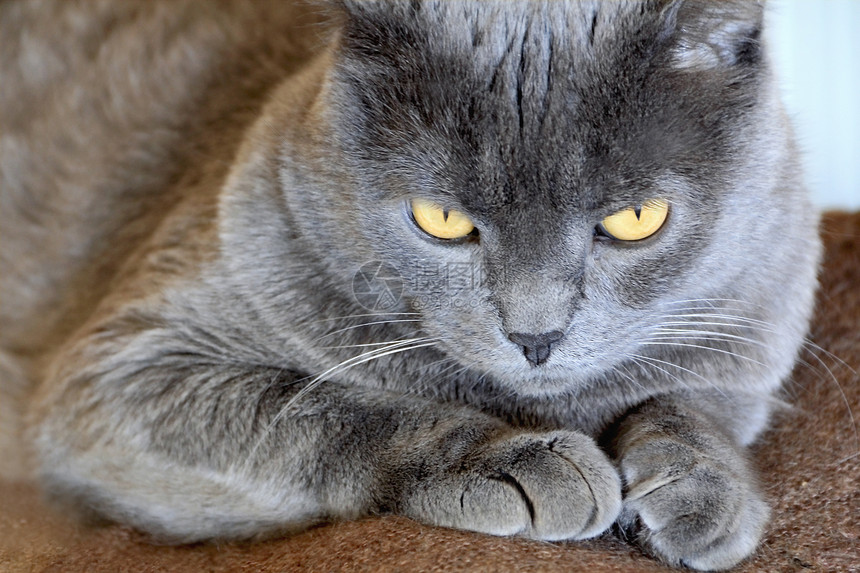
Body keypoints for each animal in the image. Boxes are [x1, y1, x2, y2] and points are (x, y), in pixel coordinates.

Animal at [0, 0, 820, 568]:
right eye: (442, 219)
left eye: (636, 219)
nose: (536, 333)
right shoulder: (122, 373)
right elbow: (327, 408)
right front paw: (519, 462)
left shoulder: (752, 335)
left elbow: (693, 400)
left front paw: (703, 486)